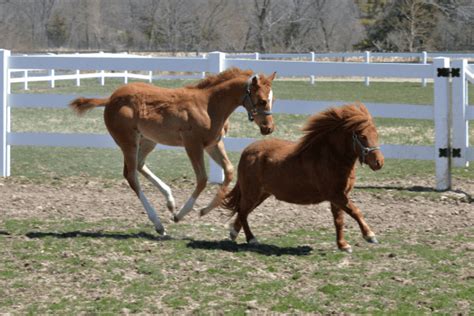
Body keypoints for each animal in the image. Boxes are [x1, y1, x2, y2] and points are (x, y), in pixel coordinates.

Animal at [71, 67, 278, 235]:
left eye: (272, 99)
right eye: (261, 101)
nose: (268, 128)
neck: (209, 105)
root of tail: (111, 99)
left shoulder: (213, 144)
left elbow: (228, 171)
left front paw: (204, 211)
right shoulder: (192, 145)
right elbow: (202, 179)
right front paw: (180, 215)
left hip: (148, 140)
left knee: (139, 165)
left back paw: (169, 201)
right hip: (128, 141)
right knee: (131, 175)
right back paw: (159, 223)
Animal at [223, 103, 386, 252]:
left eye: (377, 135)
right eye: (363, 136)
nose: (379, 162)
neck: (330, 157)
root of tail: (247, 151)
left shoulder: (338, 196)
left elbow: (339, 220)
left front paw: (343, 245)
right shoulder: (336, 195)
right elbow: (355, 211)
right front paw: (370, 236)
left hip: (261, 194)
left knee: (243, 211)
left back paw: (234, 233)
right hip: (252, 192)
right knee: (242, 211)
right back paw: (252, 239)